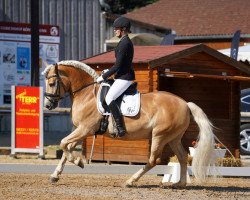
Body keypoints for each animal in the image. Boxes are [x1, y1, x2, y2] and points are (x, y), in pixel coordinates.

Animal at [42, 60, 215, 187]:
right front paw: (55, 176)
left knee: (153, 160)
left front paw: (78, 162)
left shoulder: (85, 129)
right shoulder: (83, 130)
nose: (48, 105)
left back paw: (130, 181)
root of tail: (185, 103)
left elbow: (63, 144)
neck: (86, 94)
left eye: (51, 84)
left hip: (160, 135)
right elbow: (66, 148)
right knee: (182, 157)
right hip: (173, 138)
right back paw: (179, 184)